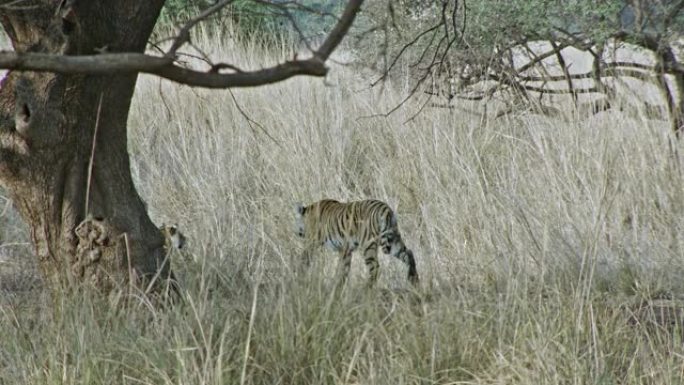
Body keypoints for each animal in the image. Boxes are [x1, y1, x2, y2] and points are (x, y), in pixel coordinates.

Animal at [292, 198, 420, 284]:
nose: (296, 233)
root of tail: (385, 209)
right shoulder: (345, 250)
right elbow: (343, 269)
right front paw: (337, 286)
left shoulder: (312, 243)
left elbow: (304, 258)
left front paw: (298, 274)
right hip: (393, 241)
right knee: (409, 253)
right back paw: (414, 279)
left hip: (368, 246)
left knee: (375, 267)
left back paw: (366, 289)